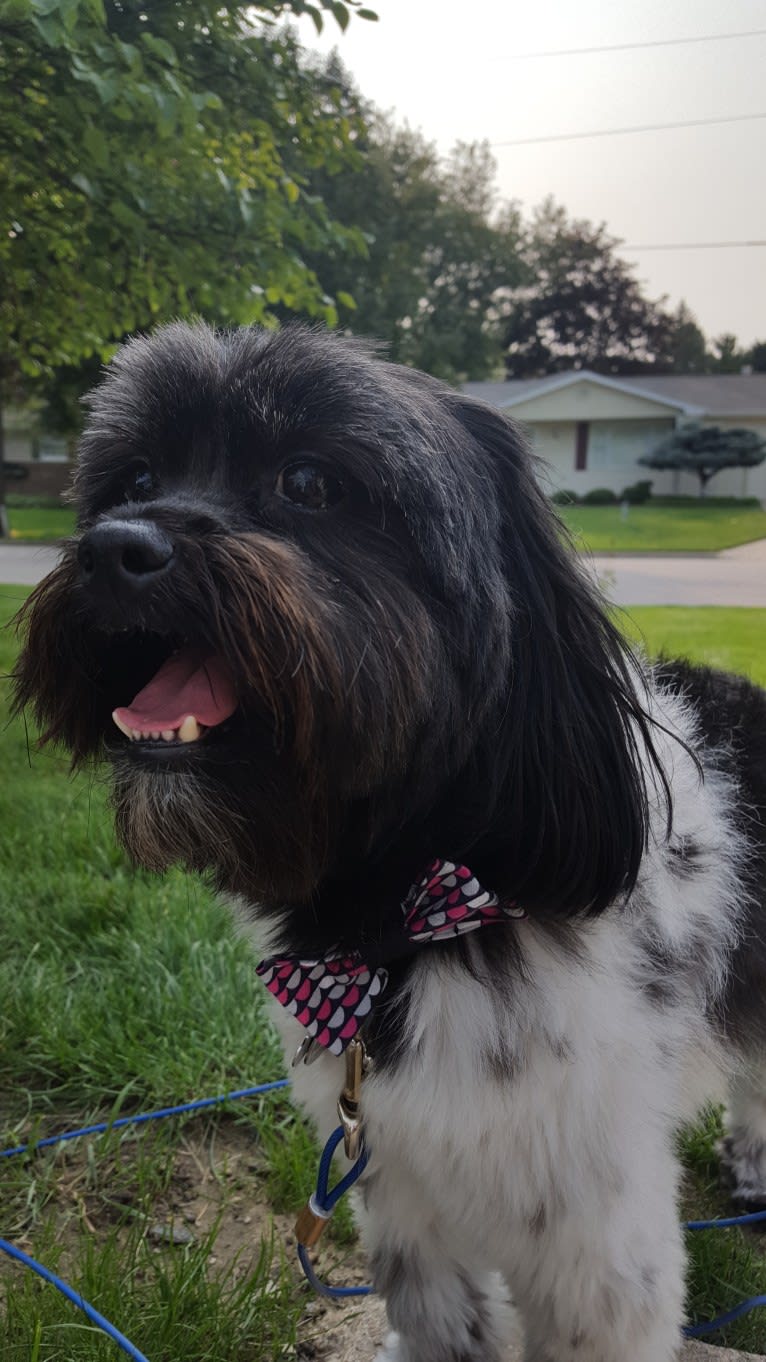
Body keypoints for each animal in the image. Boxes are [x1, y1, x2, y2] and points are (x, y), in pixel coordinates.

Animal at [11, 321, 763, 1362]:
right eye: (133, 479)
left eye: (309, 482)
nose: (116, 547)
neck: (408, 918)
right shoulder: (401, 1185)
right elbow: (442, 1319)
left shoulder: (594, 1234)